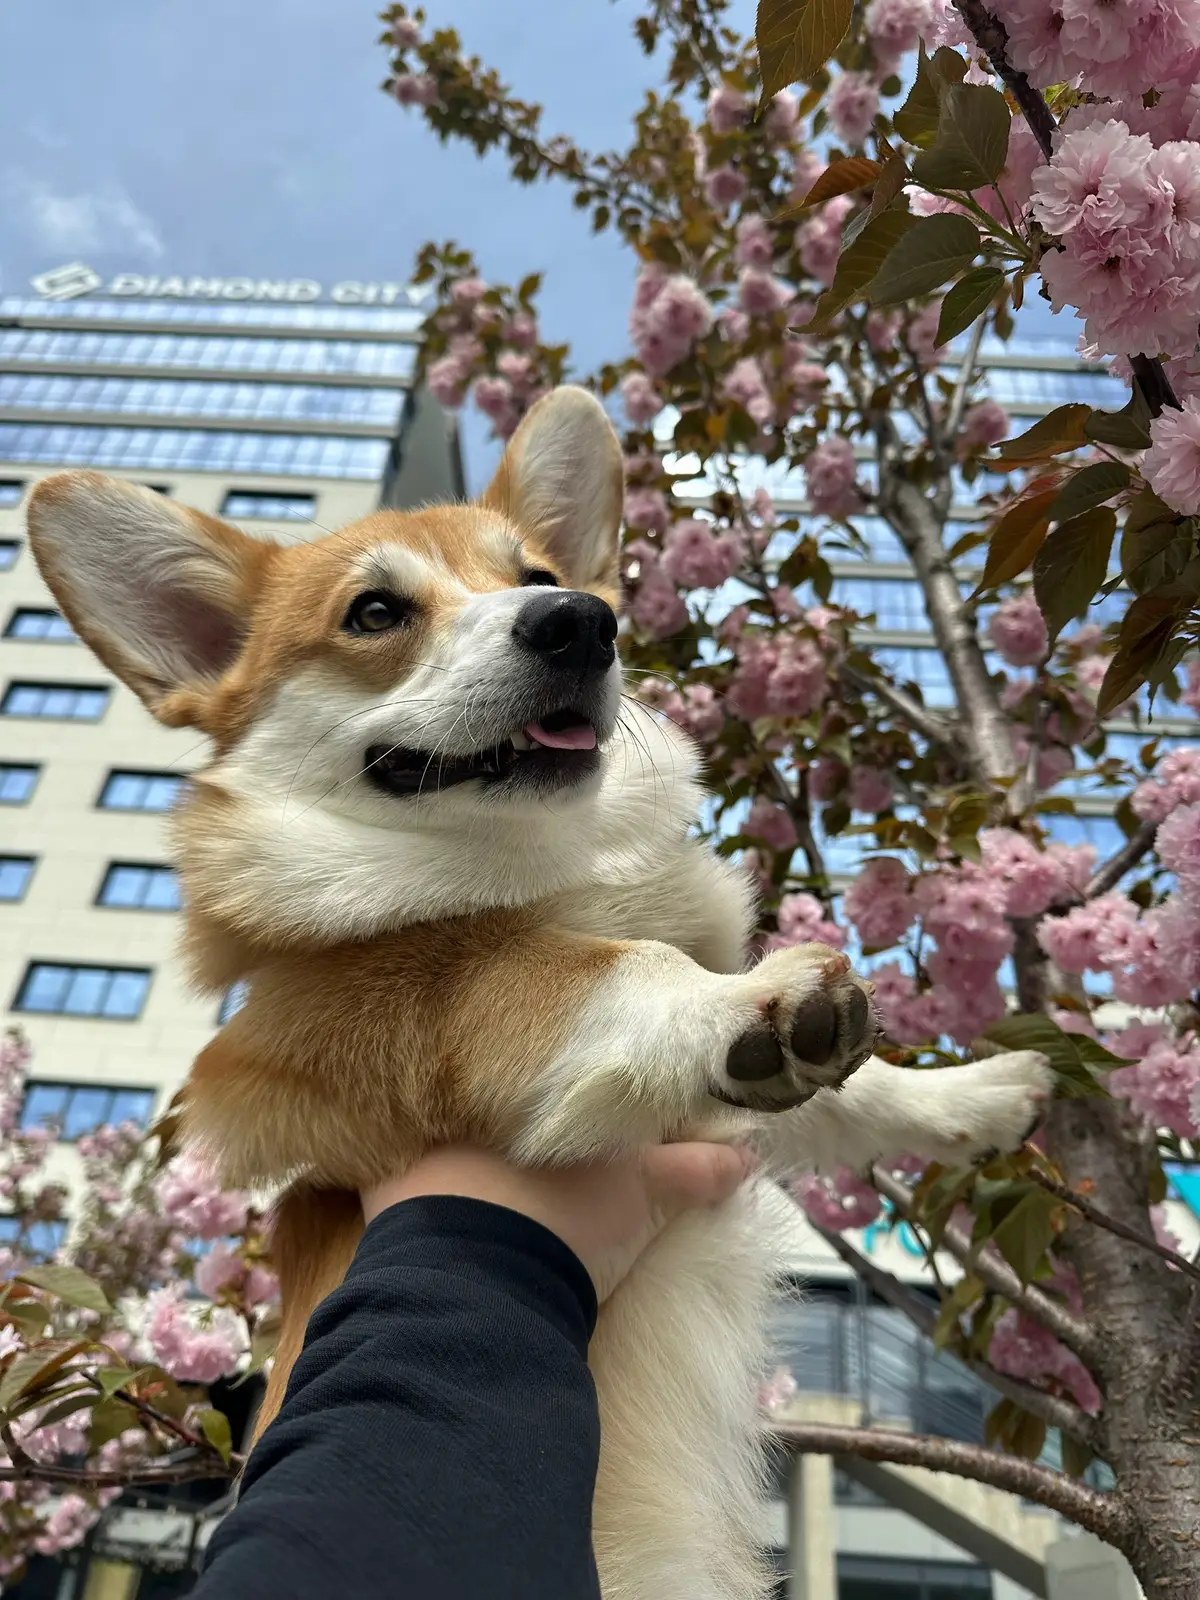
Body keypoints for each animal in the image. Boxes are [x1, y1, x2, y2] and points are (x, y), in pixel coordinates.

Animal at [28, 387, 1049, 1600]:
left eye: (539, 574)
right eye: (375, 611)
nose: (579, 621)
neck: (545, 867)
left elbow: (849, 1091)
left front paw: (975, 1094)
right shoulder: (386, 1019)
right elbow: (615, 969)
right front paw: (743, 1001)